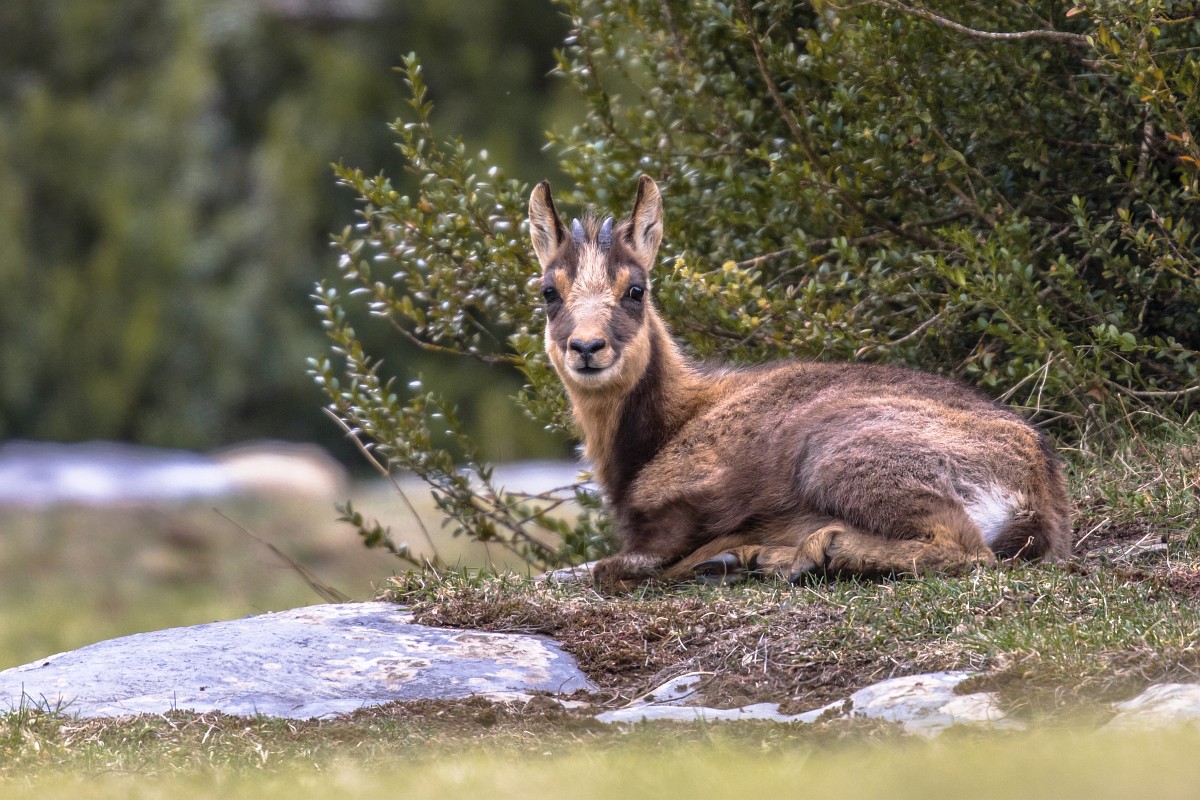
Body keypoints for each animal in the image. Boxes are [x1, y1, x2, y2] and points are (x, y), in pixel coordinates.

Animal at [528, 176, 1071, 590]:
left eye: (636, 289)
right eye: (548, 291)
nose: (587, 347)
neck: (664, 430)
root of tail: (1036, 492)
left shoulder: (684, 513)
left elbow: (609, 567)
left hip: (839, 459)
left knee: (966, 548)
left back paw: (802, 553)